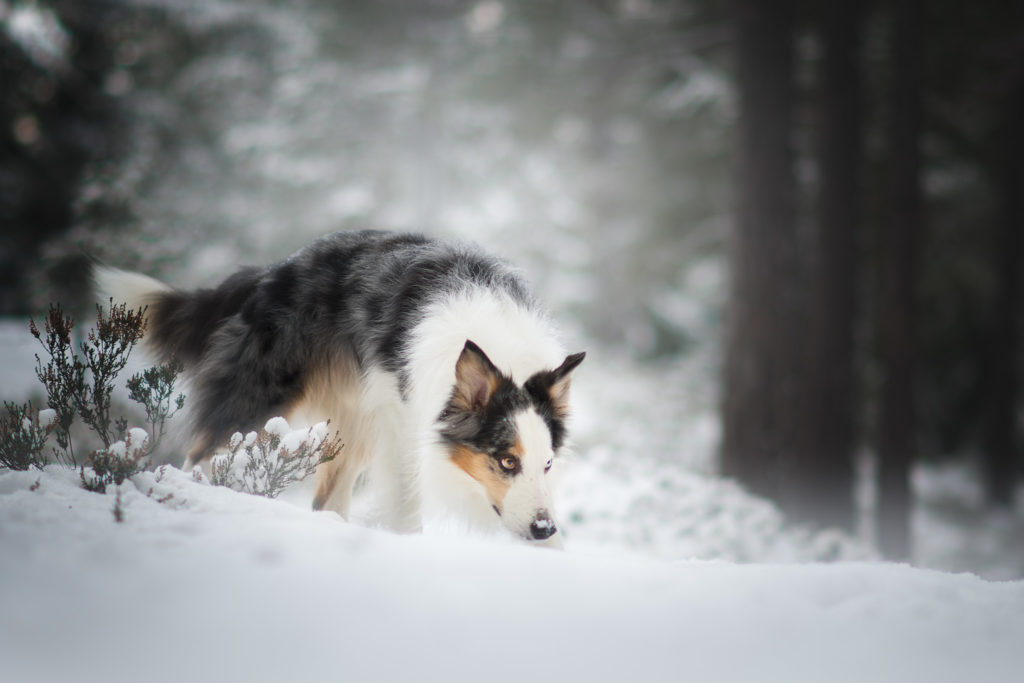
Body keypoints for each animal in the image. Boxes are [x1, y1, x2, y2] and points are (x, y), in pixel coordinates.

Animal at [99, 232, 589, 548]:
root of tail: (270, 274)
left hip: (353, 430)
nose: (544, 529)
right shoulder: (402, 428)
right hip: (260, 404)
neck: (497, 346)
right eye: (507, 461)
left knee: (325, 502)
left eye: (548, 464)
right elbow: (406, 508)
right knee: (198, 458)